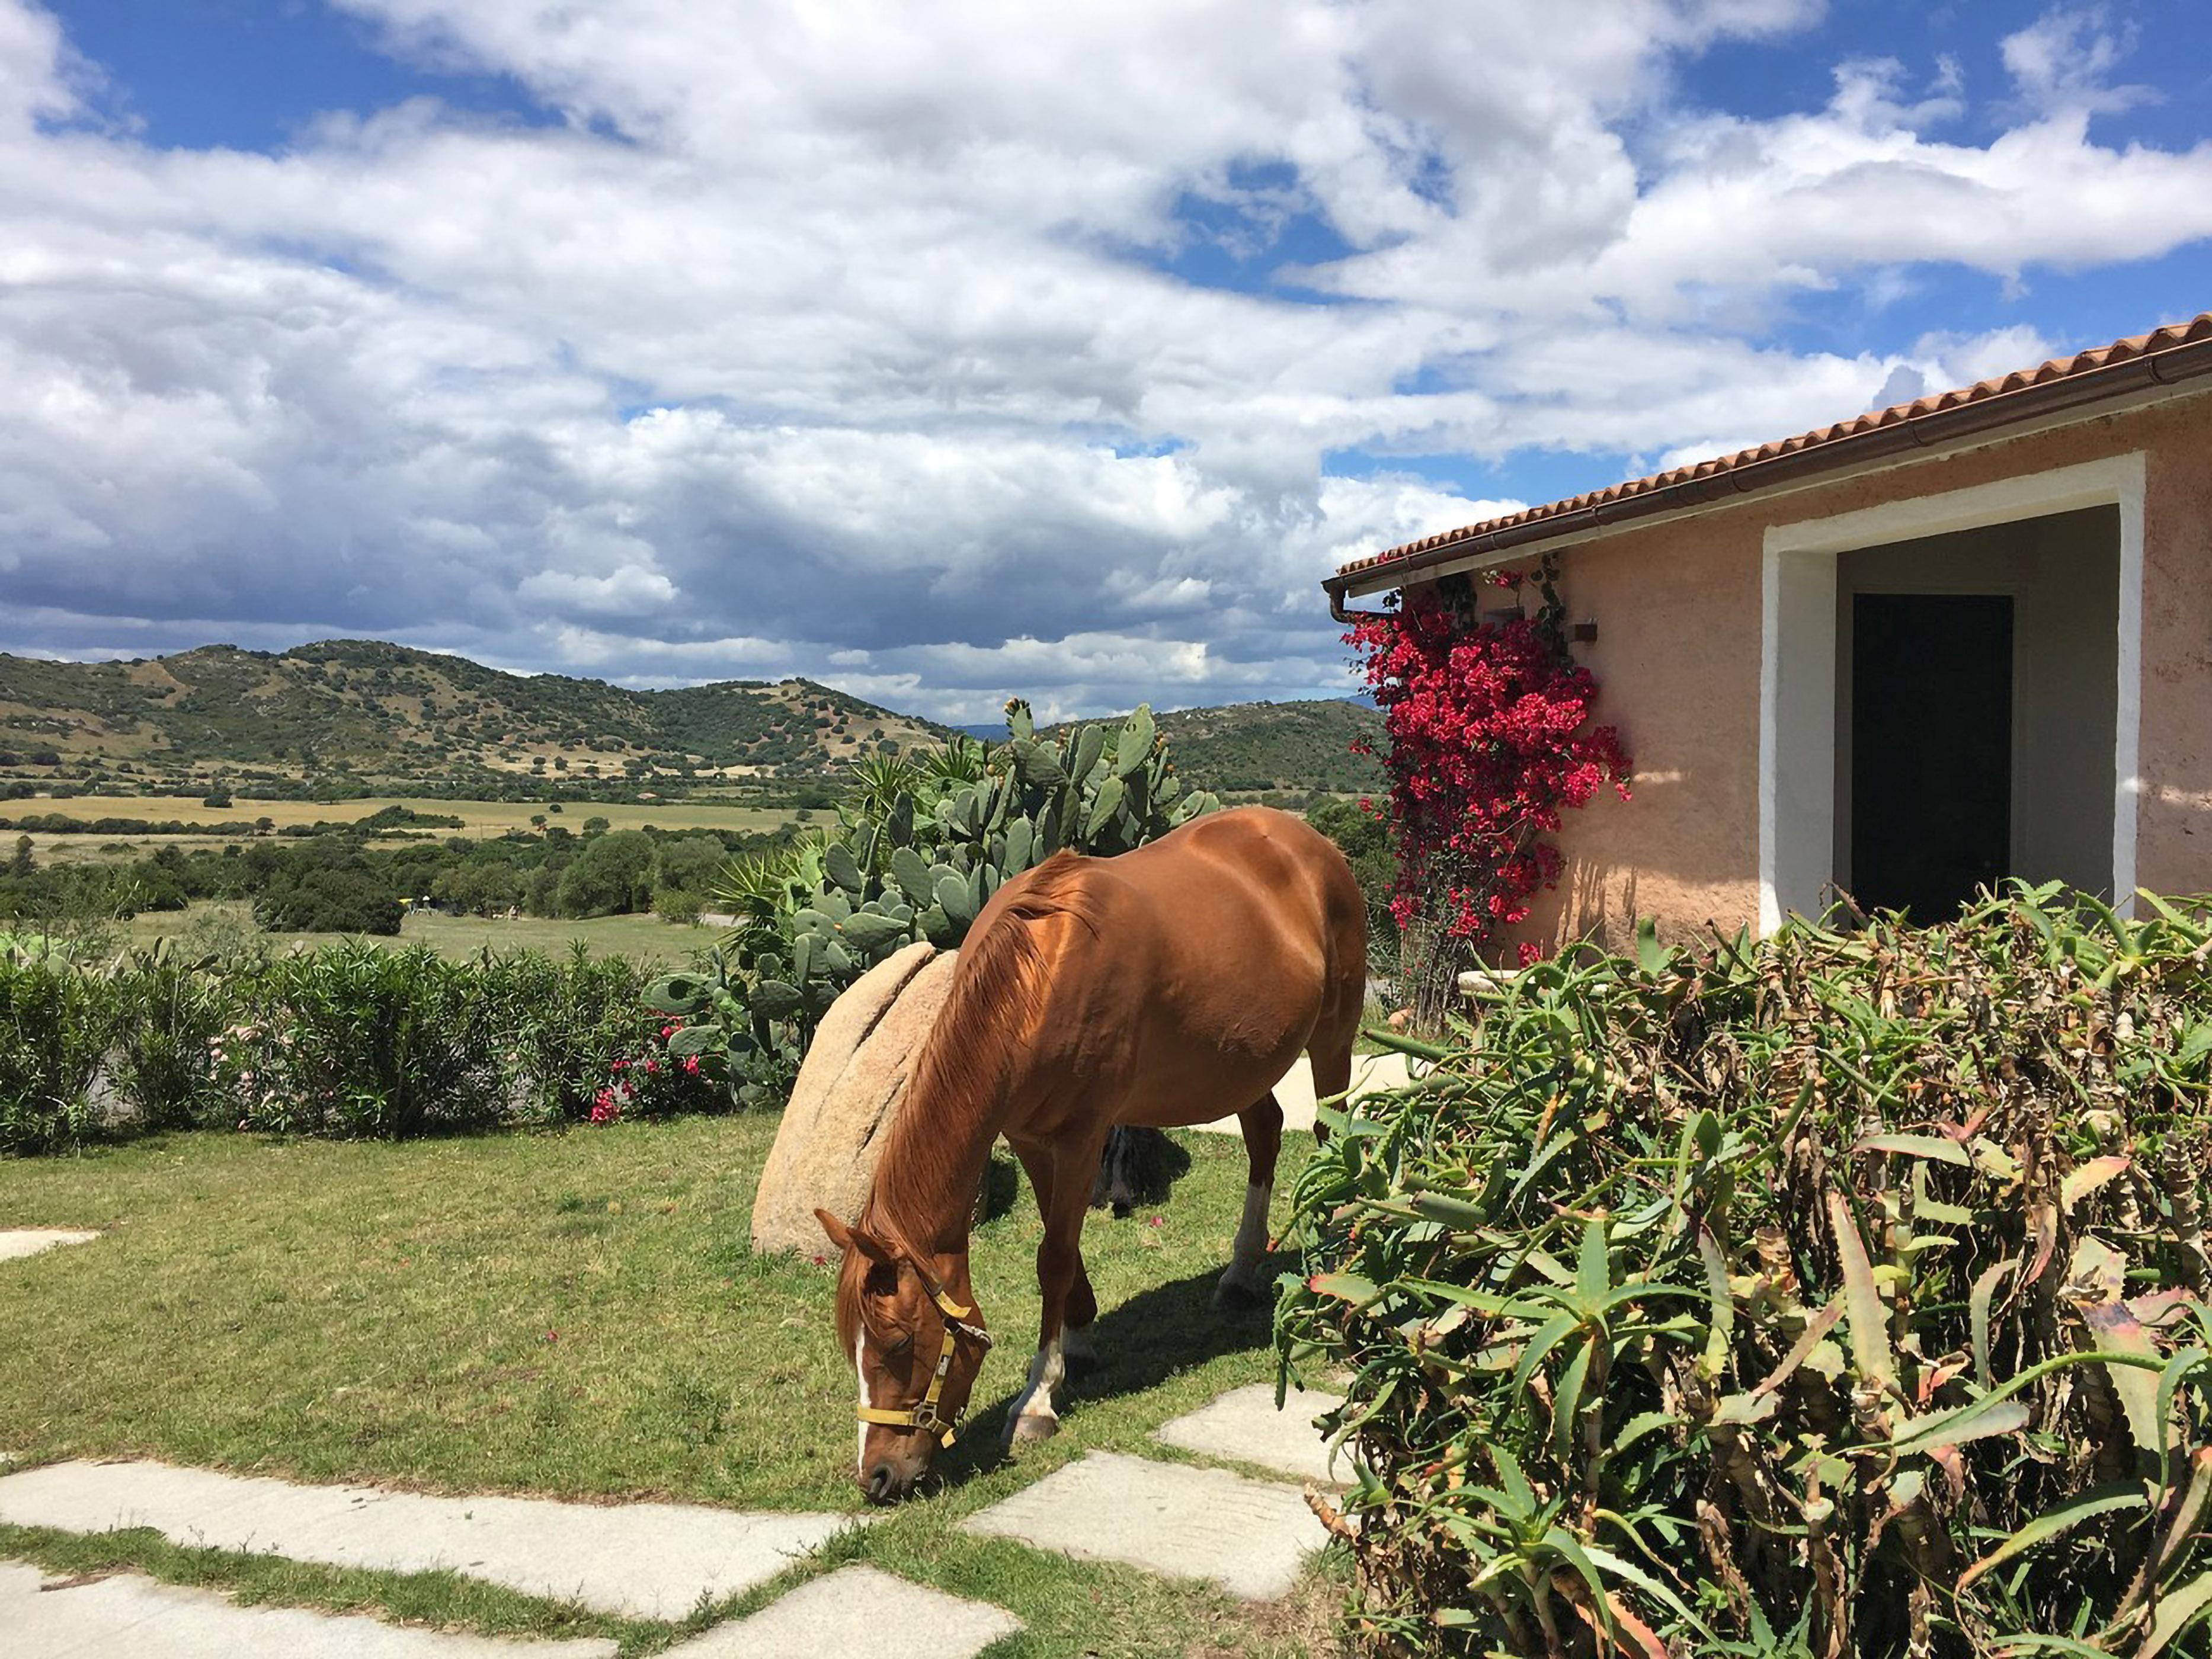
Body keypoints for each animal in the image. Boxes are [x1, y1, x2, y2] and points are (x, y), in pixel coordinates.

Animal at [814, 805, 1362, 1504]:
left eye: (902, 1339)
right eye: (850, 1344)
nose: (878, 1476)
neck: (1038, 976)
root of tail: (1307, 842)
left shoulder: (1081, 1135)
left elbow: (1051, 1256)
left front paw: (1036, 1399)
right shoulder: (1028, 1137)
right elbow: (1062, 1244)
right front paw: (1077, 1341)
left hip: (1332, 1040)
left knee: (1334, 1141)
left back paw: (1334, 1268)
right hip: (1242, 1063)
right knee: (1265, 1132)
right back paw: (1240, 1275)